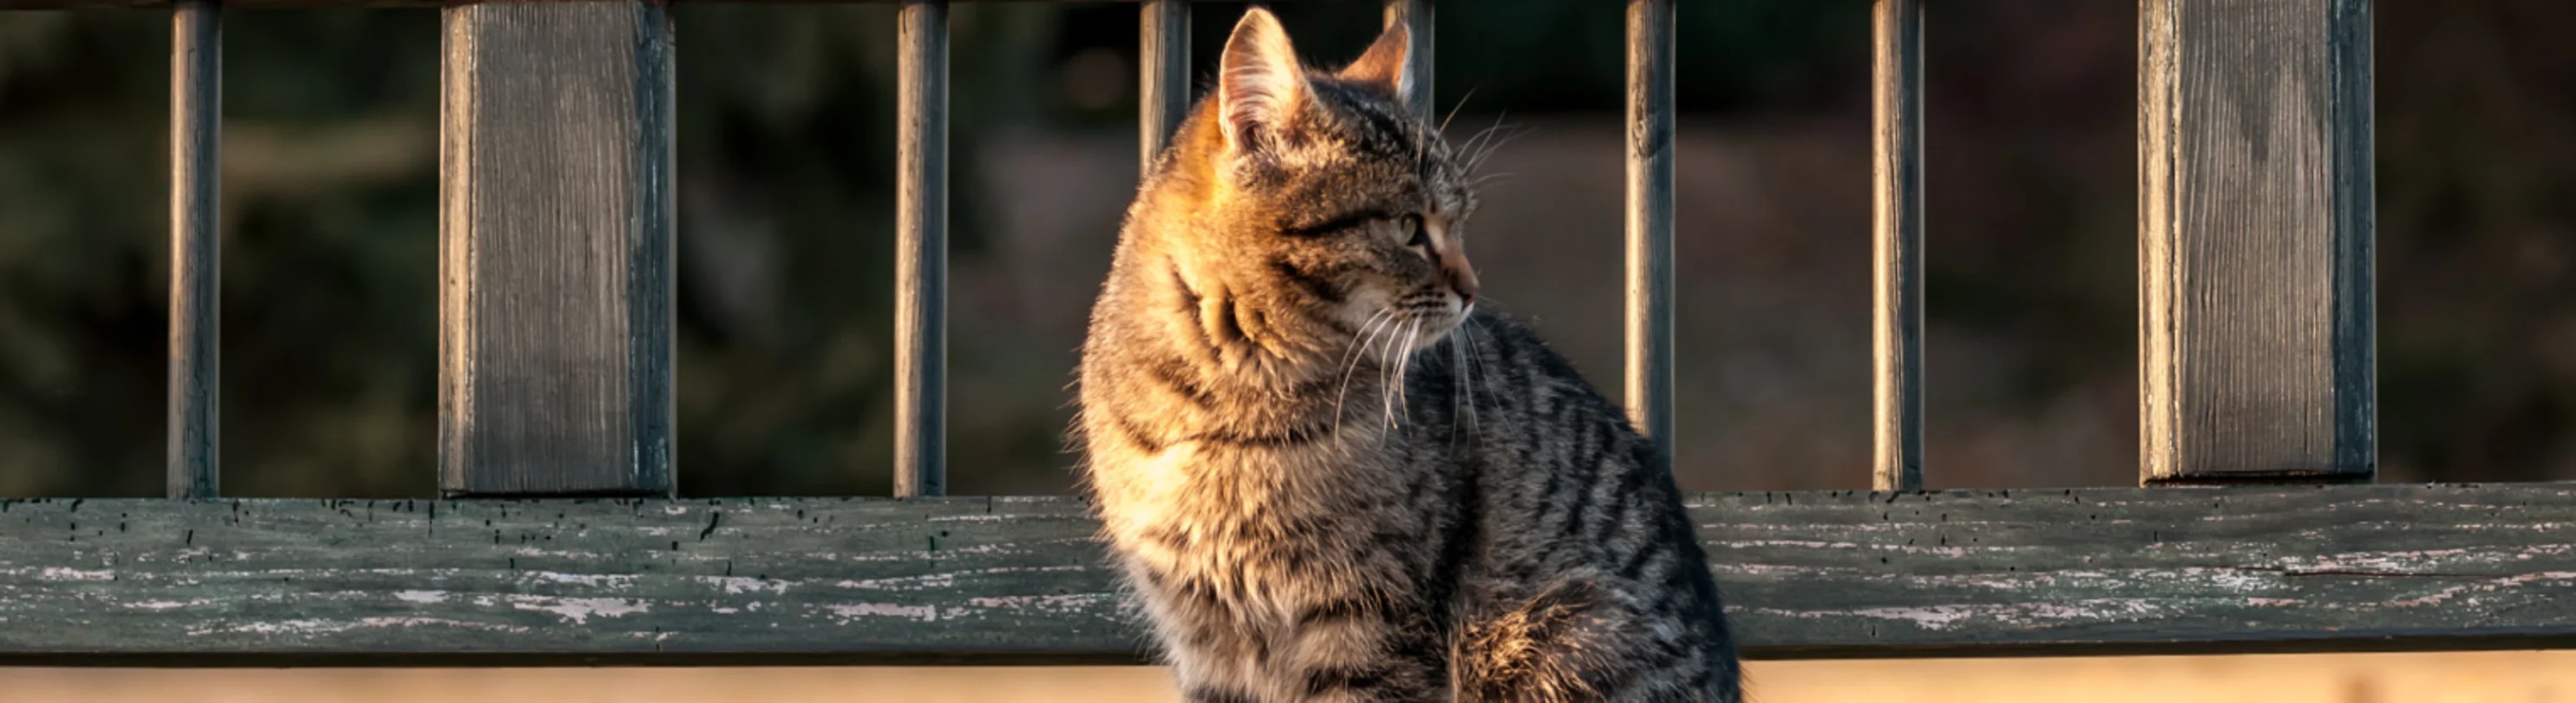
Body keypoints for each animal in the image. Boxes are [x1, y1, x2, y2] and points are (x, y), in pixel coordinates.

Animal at [1076, 6, 1741, 700]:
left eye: (1460, 221)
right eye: (1407, 227)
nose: (1473, 289)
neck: (1225, 395)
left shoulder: (1367, 621)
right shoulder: (1206, 642)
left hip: (1560, 630)